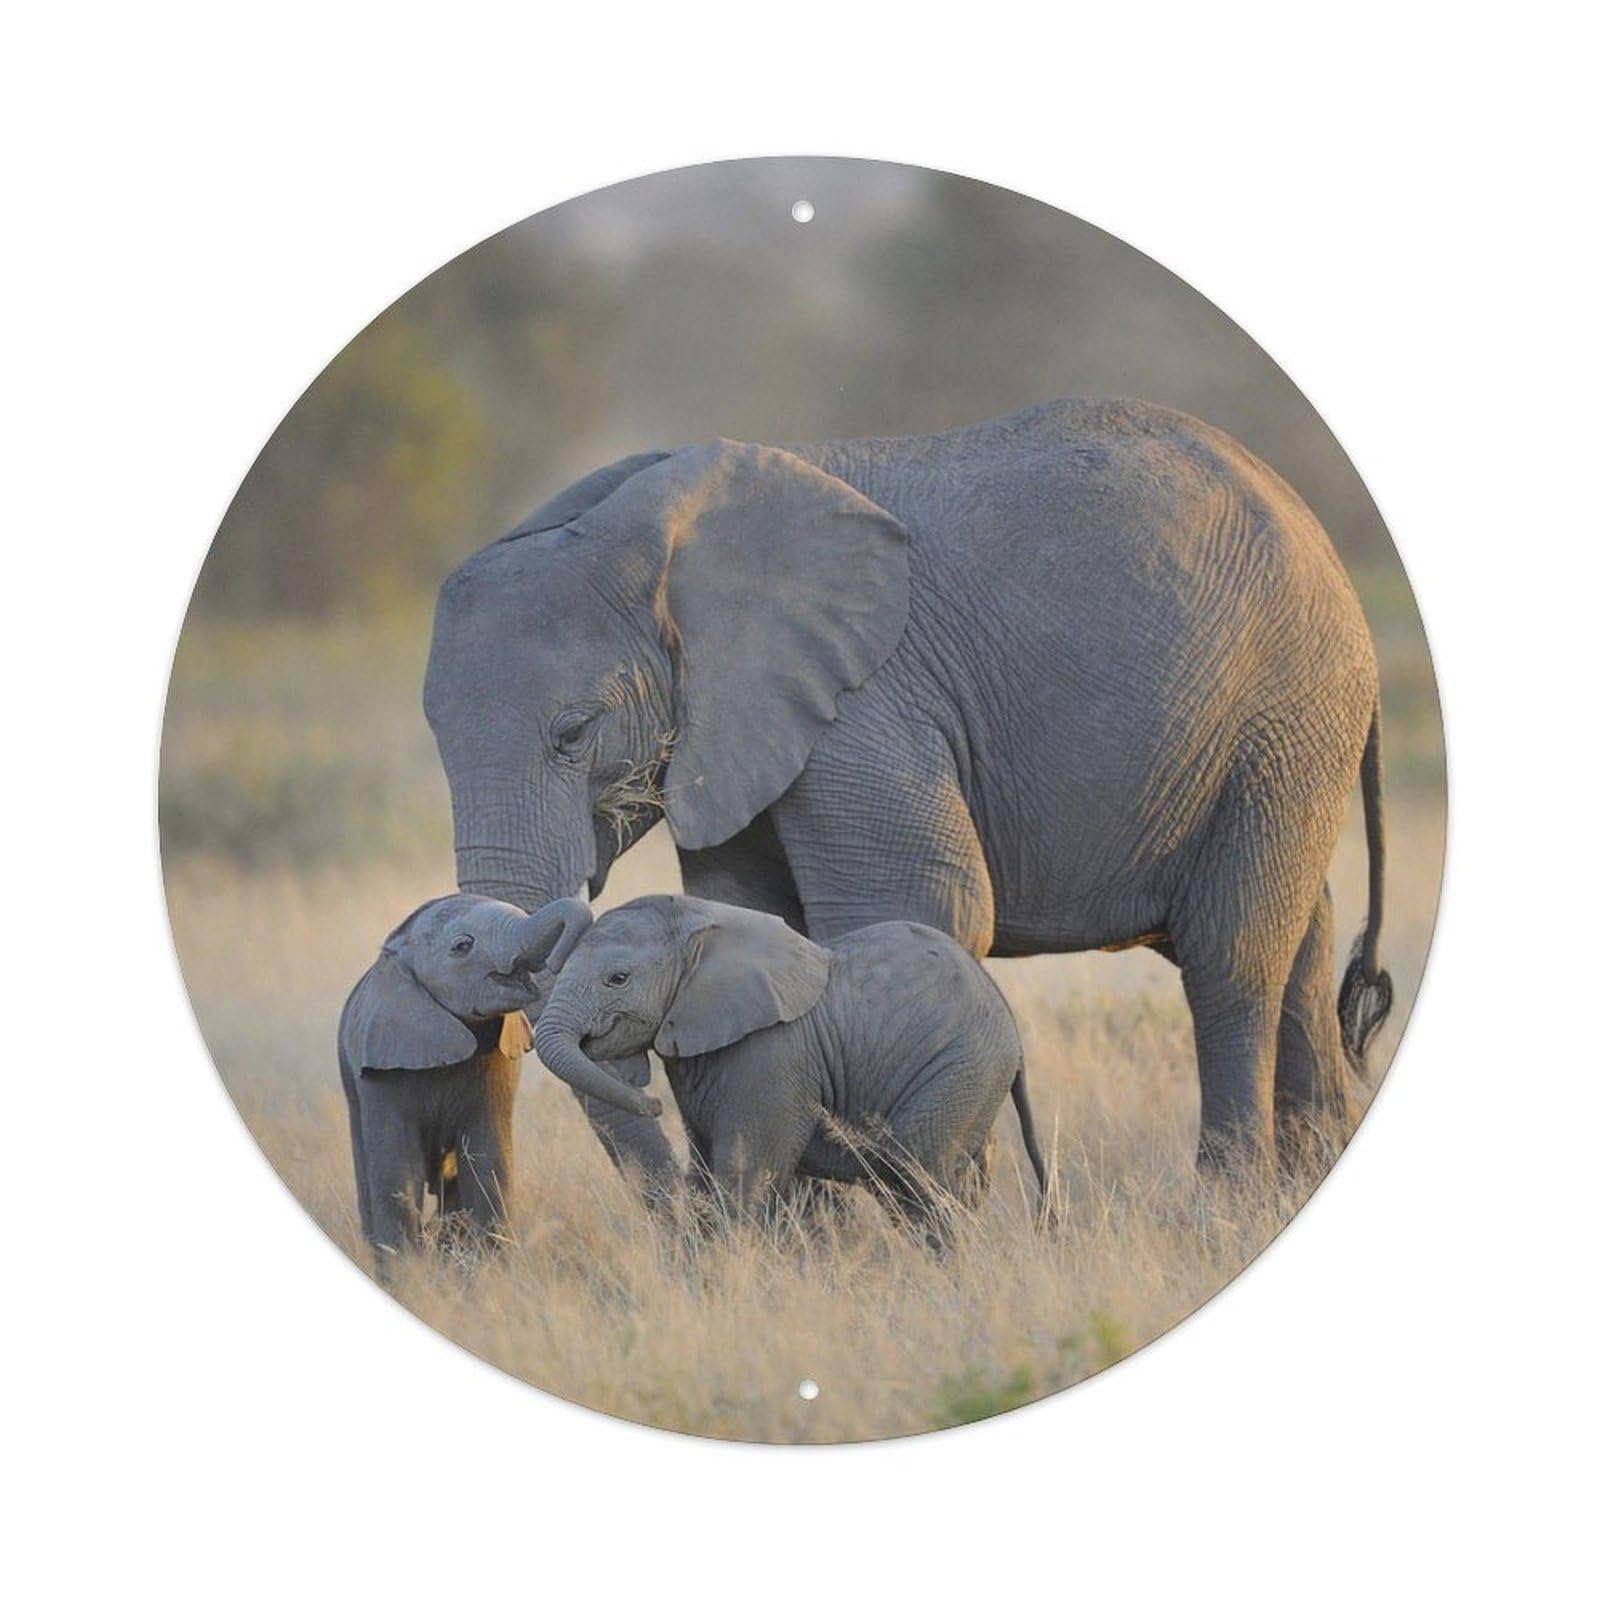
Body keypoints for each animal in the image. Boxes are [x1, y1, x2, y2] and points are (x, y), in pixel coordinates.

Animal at [337, 893, 590, 1269]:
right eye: (462, 946)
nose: (558, 963)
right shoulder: (382, 1069)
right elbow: (397, 1170)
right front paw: (409, 1274)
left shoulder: (498, 1060)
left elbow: (489, 1160)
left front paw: (487, 1270)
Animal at [424, 397, 1394, 1177]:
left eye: (573, 734)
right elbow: (753, 918)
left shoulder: (866, 703)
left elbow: (920, 906)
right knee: (1300, 941)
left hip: (1286, 713)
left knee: (1232, 957)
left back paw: (1221, 1207)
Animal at [529, 894, 1048, 1231]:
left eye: (617, 979)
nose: (652, 1103)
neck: (704, 921)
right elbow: (704, 1173)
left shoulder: (771, 1056)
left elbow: (744, 1176)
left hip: (961, 1066)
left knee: (918, 1174)